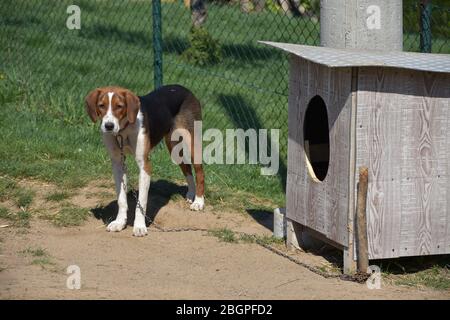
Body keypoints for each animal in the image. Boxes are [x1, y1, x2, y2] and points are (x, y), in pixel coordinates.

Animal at [84, 84, 206, 236]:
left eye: (119, 106)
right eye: (101, 105)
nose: (109, 126)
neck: (123, 131)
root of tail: (183, 88)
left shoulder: (145, 166)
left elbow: (141, 202)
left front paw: (139, 226)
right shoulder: (117, 164)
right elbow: (121, 199)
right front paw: (120, 222)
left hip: (192, 141)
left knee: (200, 172)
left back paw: (199, 201)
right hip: (173, 147)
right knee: (187, 168)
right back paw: (191, 193)